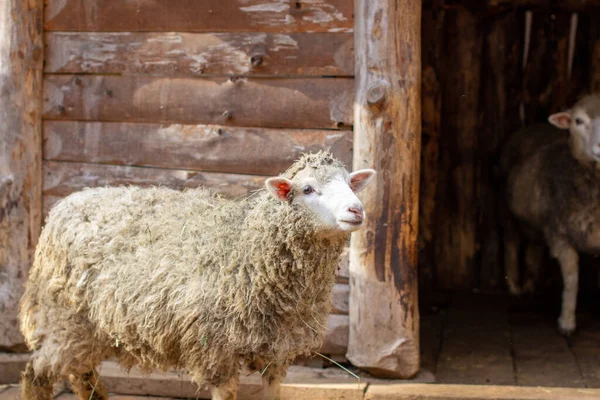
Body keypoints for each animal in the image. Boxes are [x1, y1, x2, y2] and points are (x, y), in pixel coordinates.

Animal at [18, 152, 376, 400]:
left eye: (349, 183)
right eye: (308, 189)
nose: (356, 210)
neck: (244, 245)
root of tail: (64, 205)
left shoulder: (277, 352)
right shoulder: (217, 352)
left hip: (89, 327)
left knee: (82, 373)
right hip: (63, 318)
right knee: (37, 373)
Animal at [500, 95, 600, 336]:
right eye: (578, 121)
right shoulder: (559, 233)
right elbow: (572, 278)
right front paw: (567, 322)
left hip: (536, 223)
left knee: (534, 249)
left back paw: (530, 285)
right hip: (507, 211)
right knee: (511, 243)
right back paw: (514, 287)